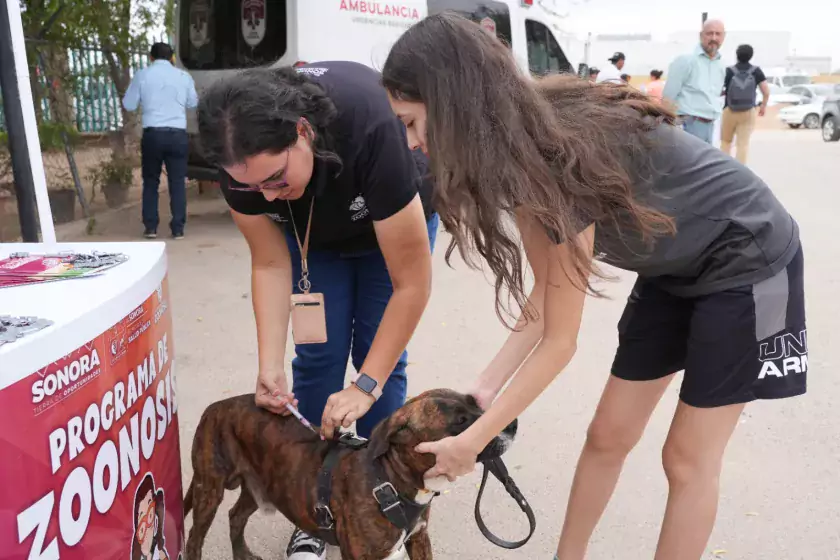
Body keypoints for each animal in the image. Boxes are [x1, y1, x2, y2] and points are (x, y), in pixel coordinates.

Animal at [184, 390, 520, 560]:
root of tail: (217, 405)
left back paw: (242, 554)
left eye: (477, 403)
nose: (512, 422)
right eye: (460, 422)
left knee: (236, 516)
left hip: (260, 486)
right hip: (208, 488)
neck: (391, 480)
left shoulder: (419, 538)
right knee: (194, 537)